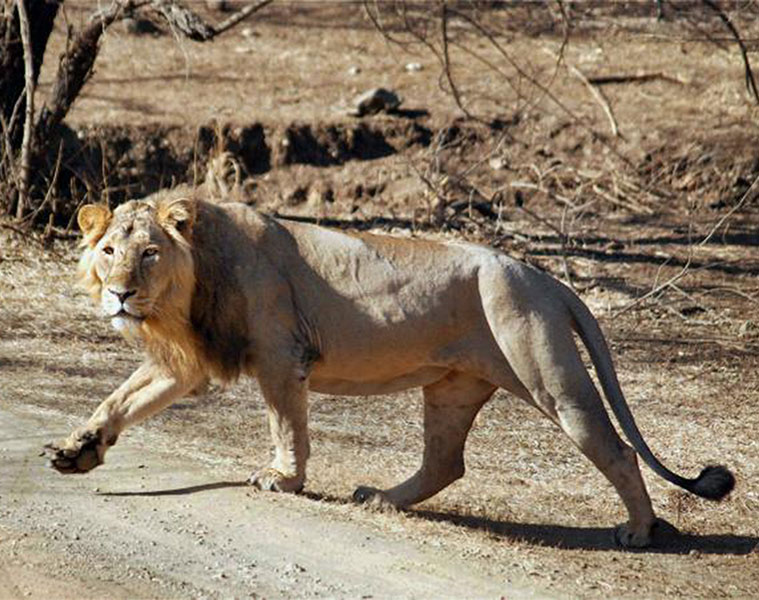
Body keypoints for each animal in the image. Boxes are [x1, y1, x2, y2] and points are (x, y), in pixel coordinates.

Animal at [44, 188, 732, 548]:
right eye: (108, 250)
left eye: (149, 253)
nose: (121, 295)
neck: (185, 293)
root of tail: (545, 277)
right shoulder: (188, 363)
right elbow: (119, 400)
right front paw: (78, 451)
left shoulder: (280, 356)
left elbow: (286, 425)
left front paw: (283, 479)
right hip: (453, 389)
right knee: (445, 463)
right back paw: (380, 499)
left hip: (549, 376)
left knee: (616, 449)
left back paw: (639, 530)